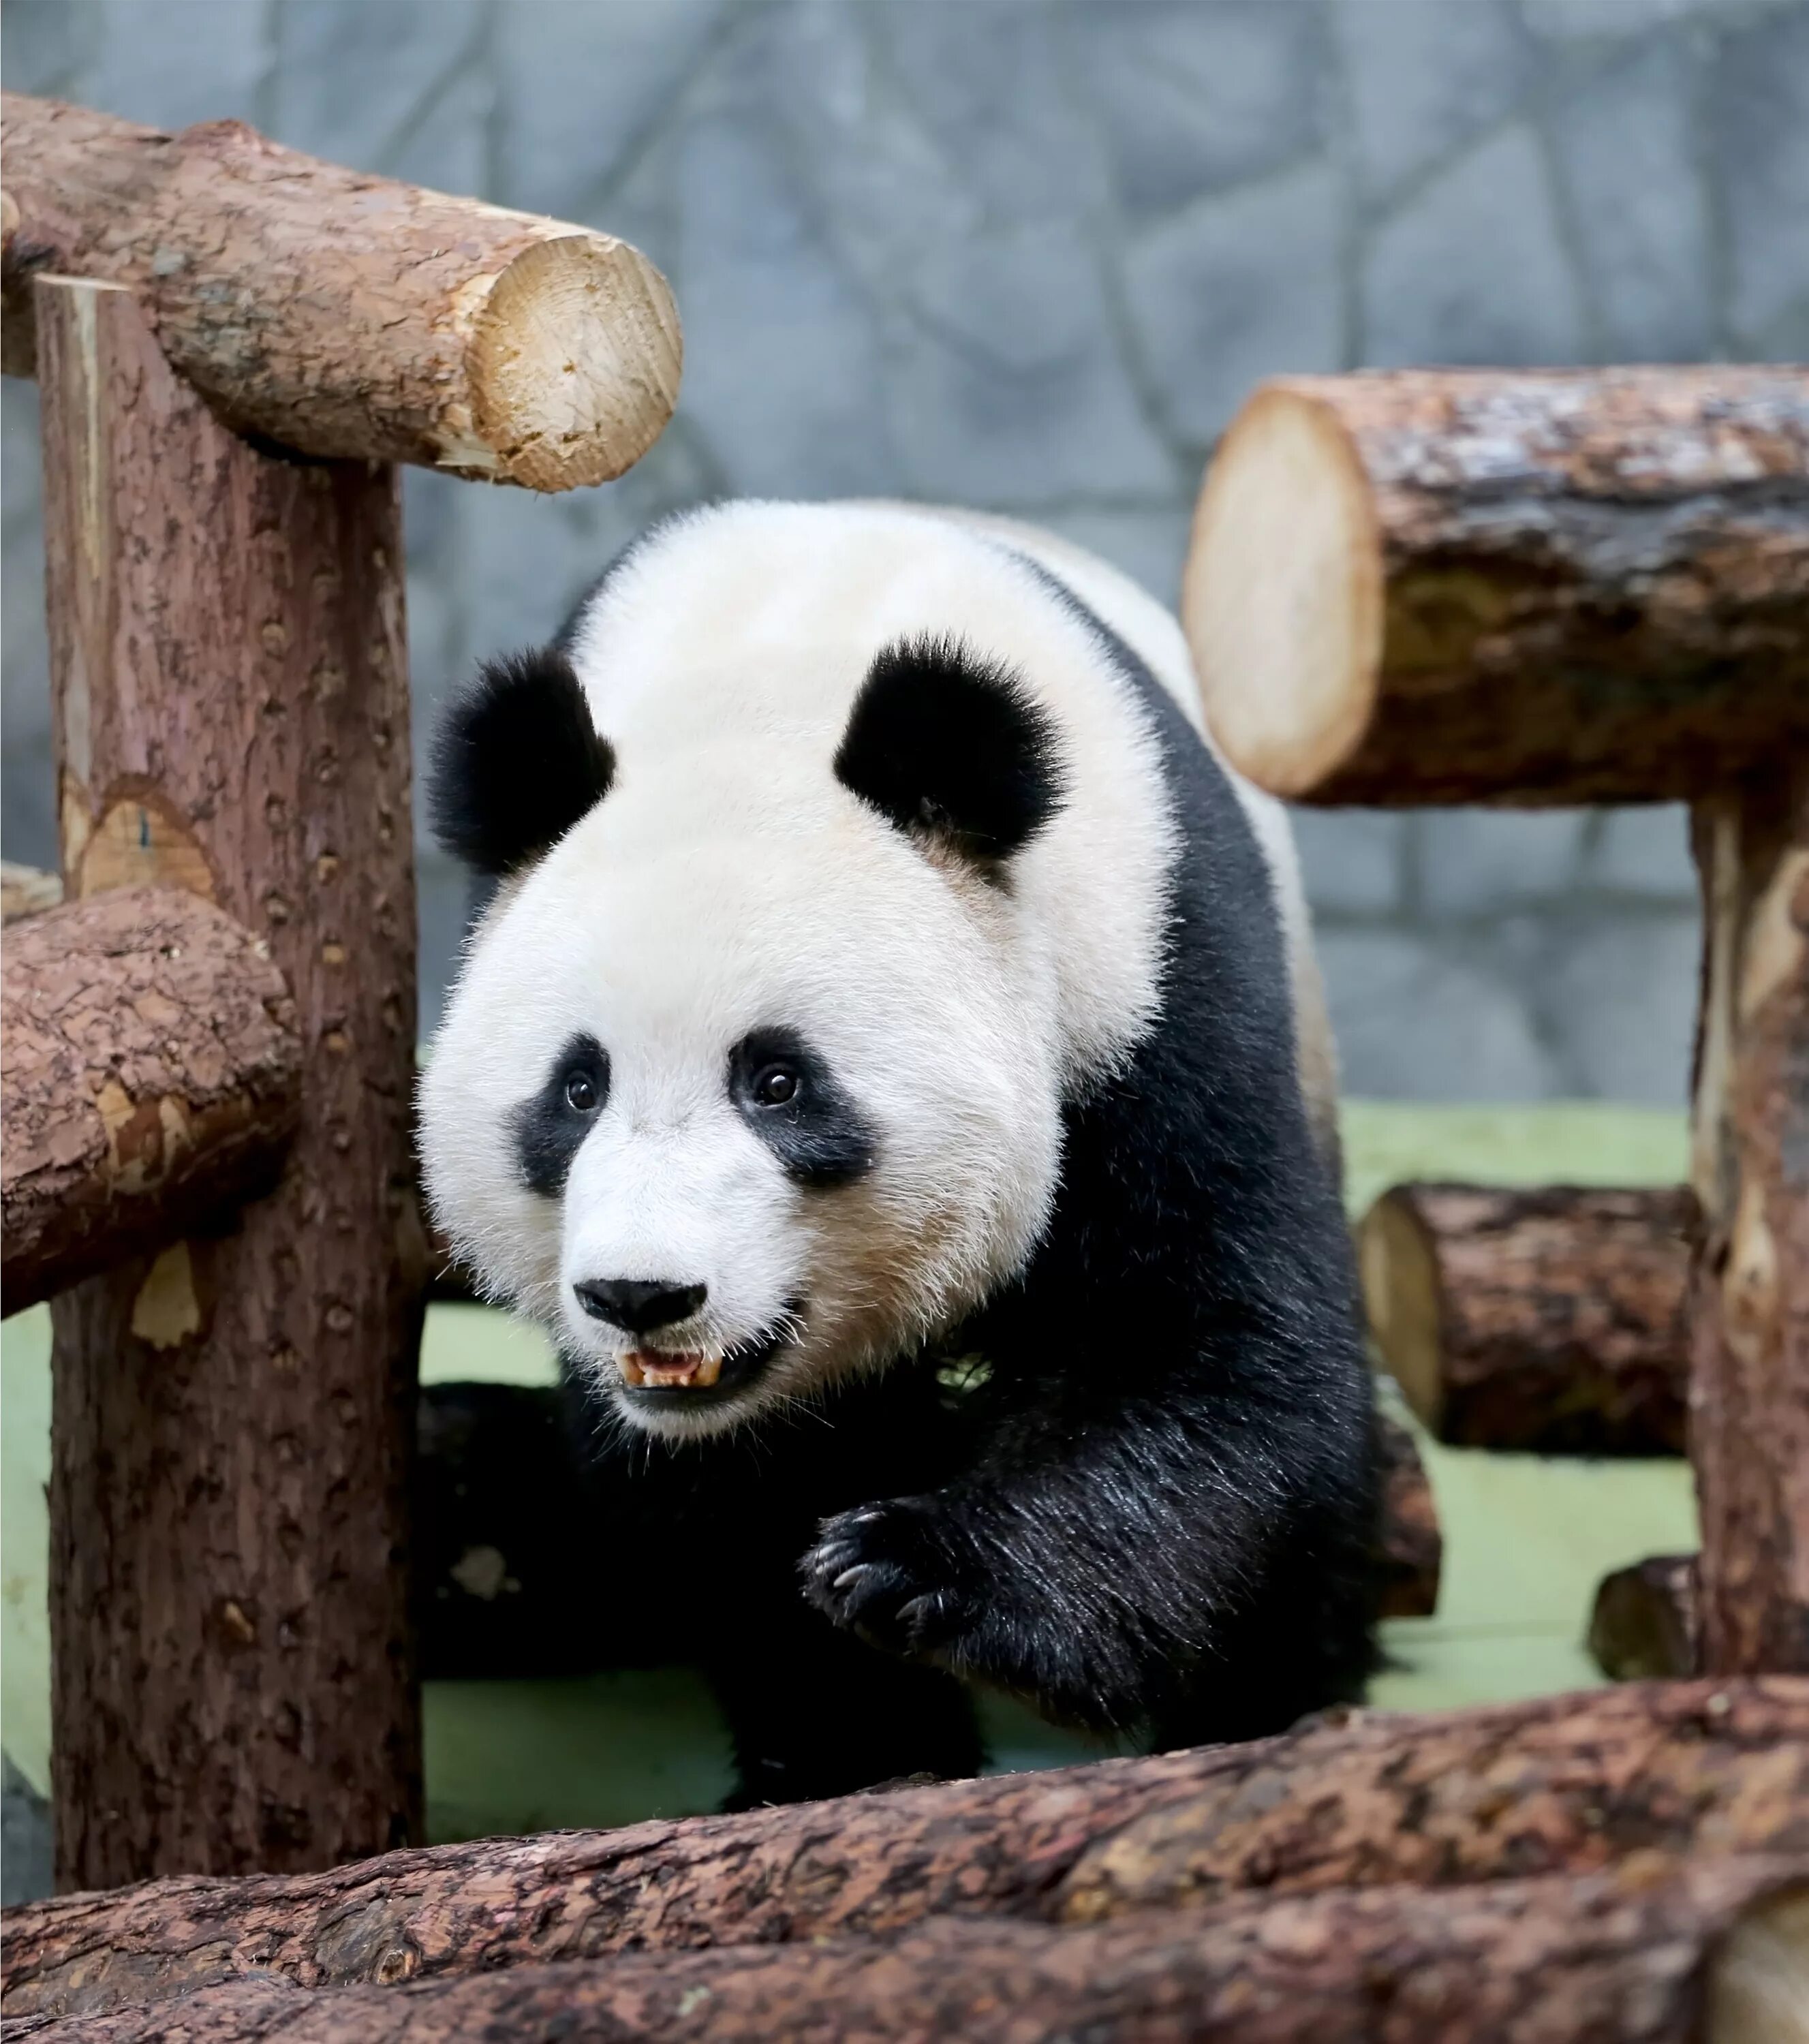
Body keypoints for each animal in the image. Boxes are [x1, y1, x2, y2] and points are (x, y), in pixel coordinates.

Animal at [423, 499, 1374, 1807]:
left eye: (777, 1082)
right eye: (577, 1088)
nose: (642, 1296)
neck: (781, 668)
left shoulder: (1154, 988)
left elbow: (1210, 1347)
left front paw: (922, 1577)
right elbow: (728, 1498)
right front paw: (848, 1756)